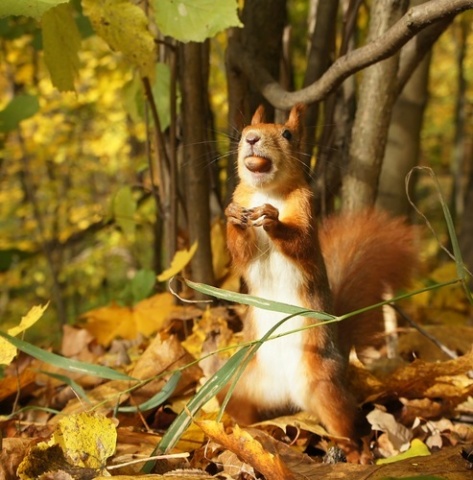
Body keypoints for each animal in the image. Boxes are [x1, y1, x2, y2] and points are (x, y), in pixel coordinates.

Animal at [223, 103, 414, 464]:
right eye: (241, 134)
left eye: (287, 134)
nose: (252, 139)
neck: (267, 191)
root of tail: (285, 394)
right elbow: (239, 252)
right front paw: (233, 216)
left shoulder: (307, 217)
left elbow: (299, 243)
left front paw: (272, 220)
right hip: (242, 385)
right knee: (238, 406)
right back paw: (233, 429)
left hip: (322, 387)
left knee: (348, 422)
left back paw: (358, 454)